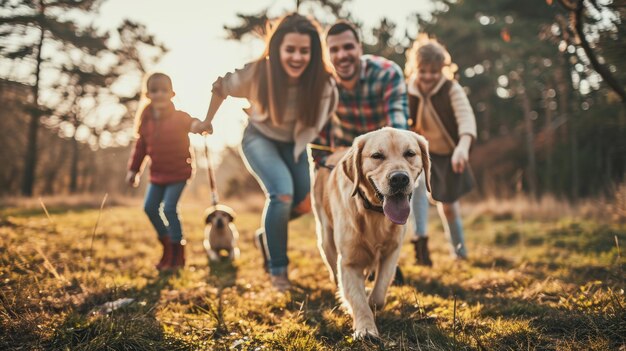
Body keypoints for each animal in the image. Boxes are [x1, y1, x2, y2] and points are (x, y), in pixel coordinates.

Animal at [310, 128, 426, 340]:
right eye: (377, 156)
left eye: (410, 154)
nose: (399, 178)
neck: (374, 213)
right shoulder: (348, 262)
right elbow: (357, 298)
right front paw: (365, 329)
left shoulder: (392, 252)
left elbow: (379, 292)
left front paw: (372, 300)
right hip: (326, 237)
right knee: (332, 268)